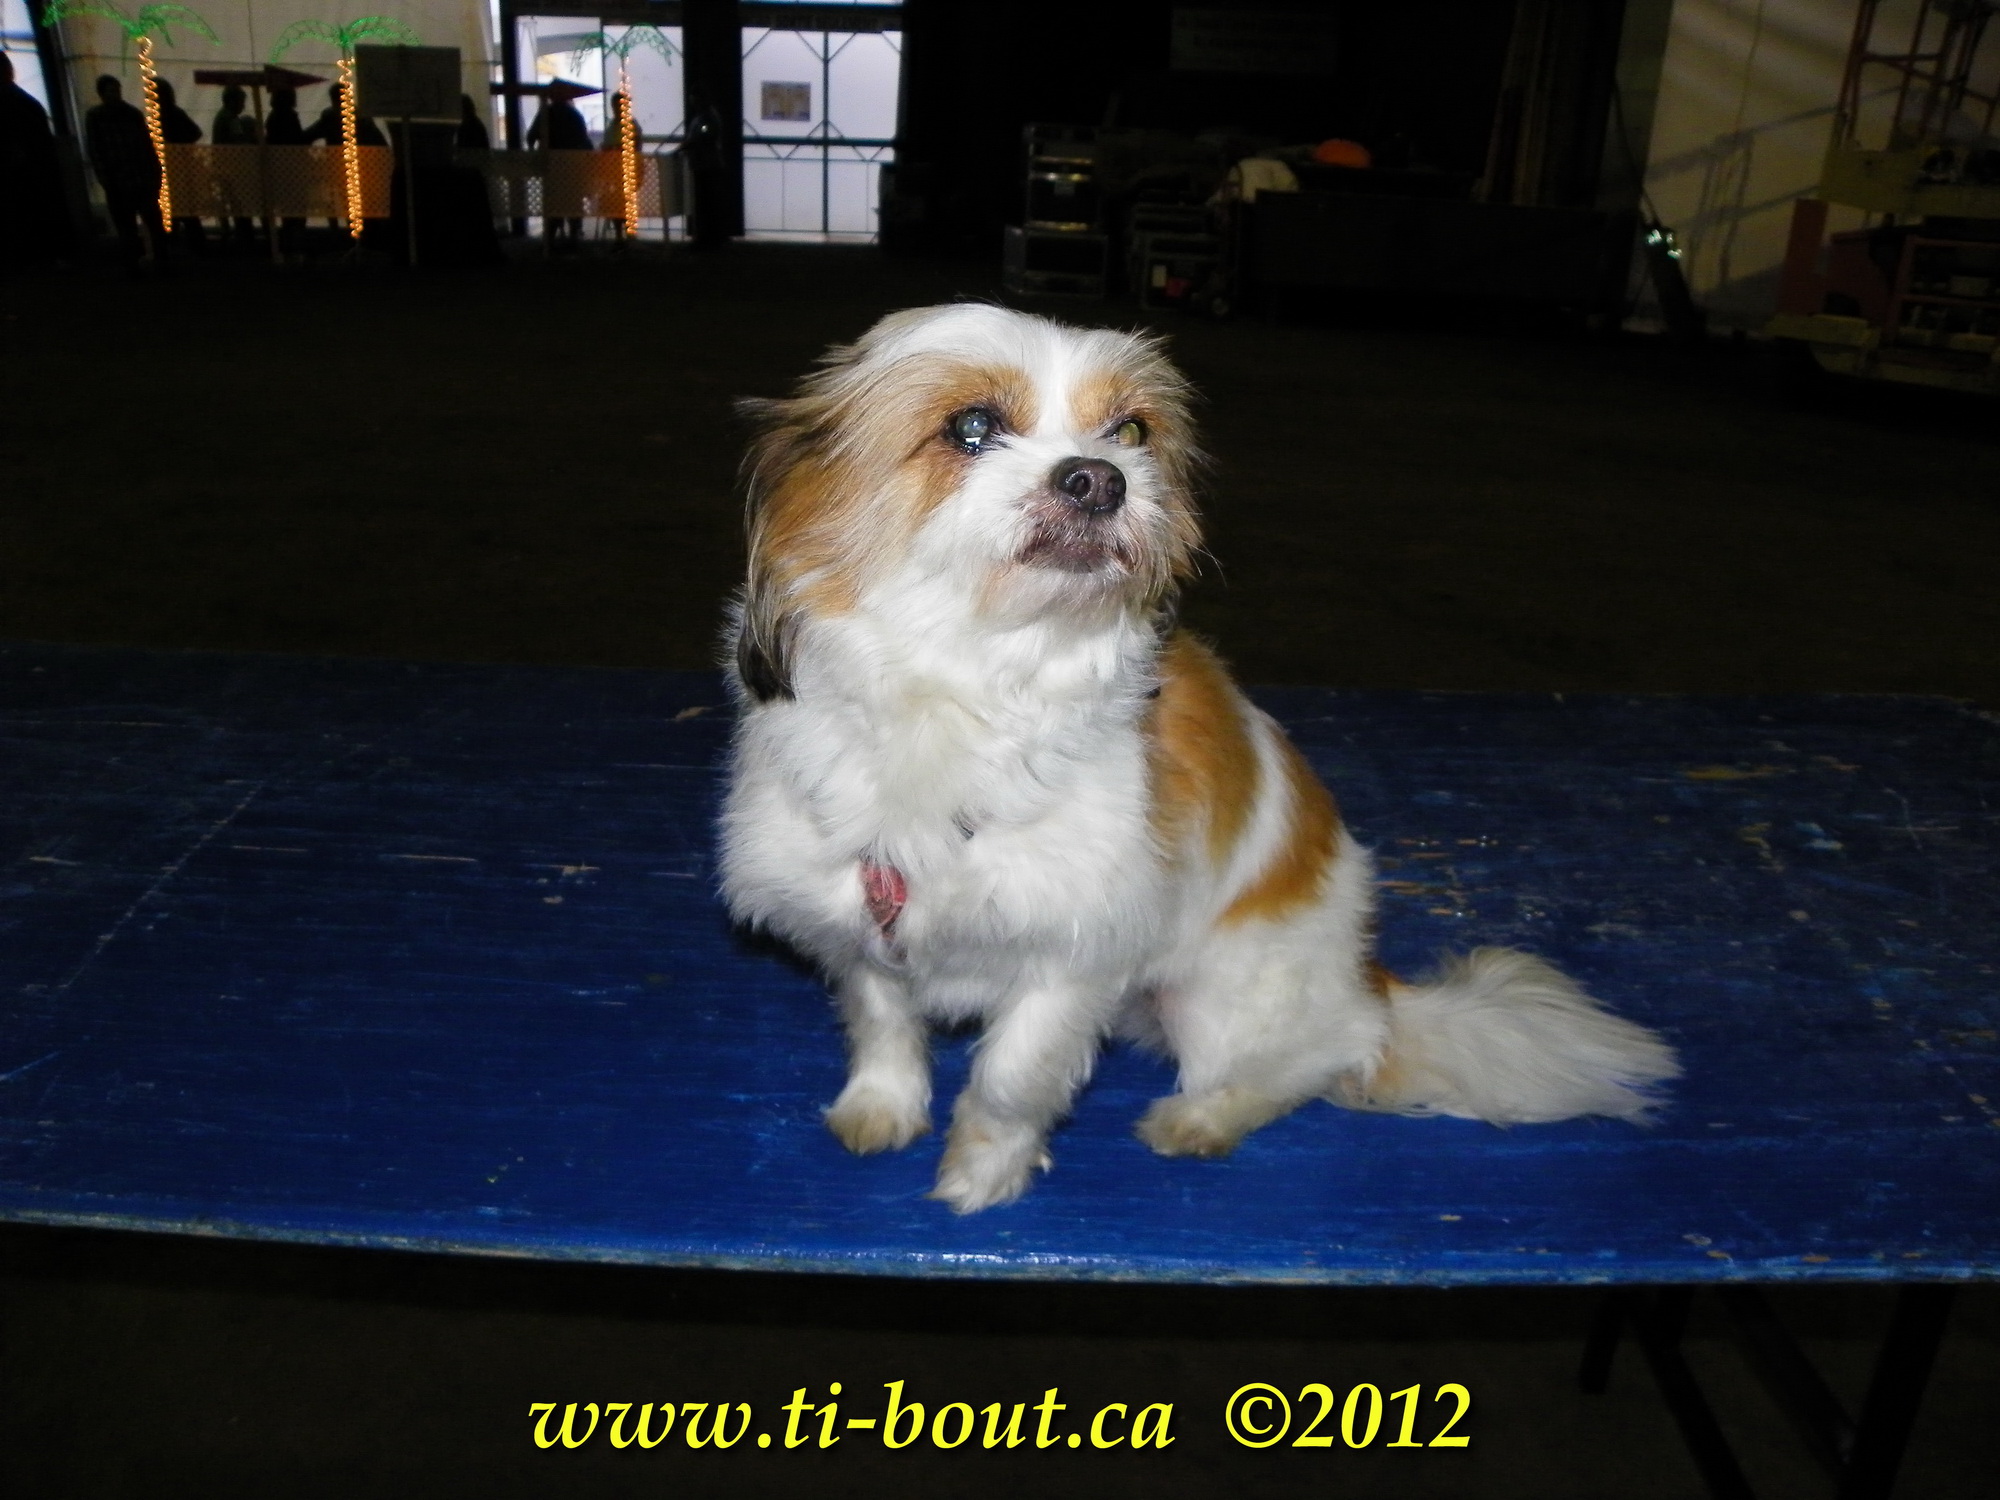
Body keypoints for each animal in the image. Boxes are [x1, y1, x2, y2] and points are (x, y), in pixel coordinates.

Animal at [719, 304, 1678, 1213]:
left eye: (1132, 433)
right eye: (972, 427)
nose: (1098, 477)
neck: (966, 682)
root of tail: (1366, 976)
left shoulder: (1074, 957)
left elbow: (1008, 1083)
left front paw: (982, 1178)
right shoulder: (855, 922)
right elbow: (882, 1021)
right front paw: (881, 1108)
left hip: (1221, 1000)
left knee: (1327, 1054)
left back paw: (1202, 1118)